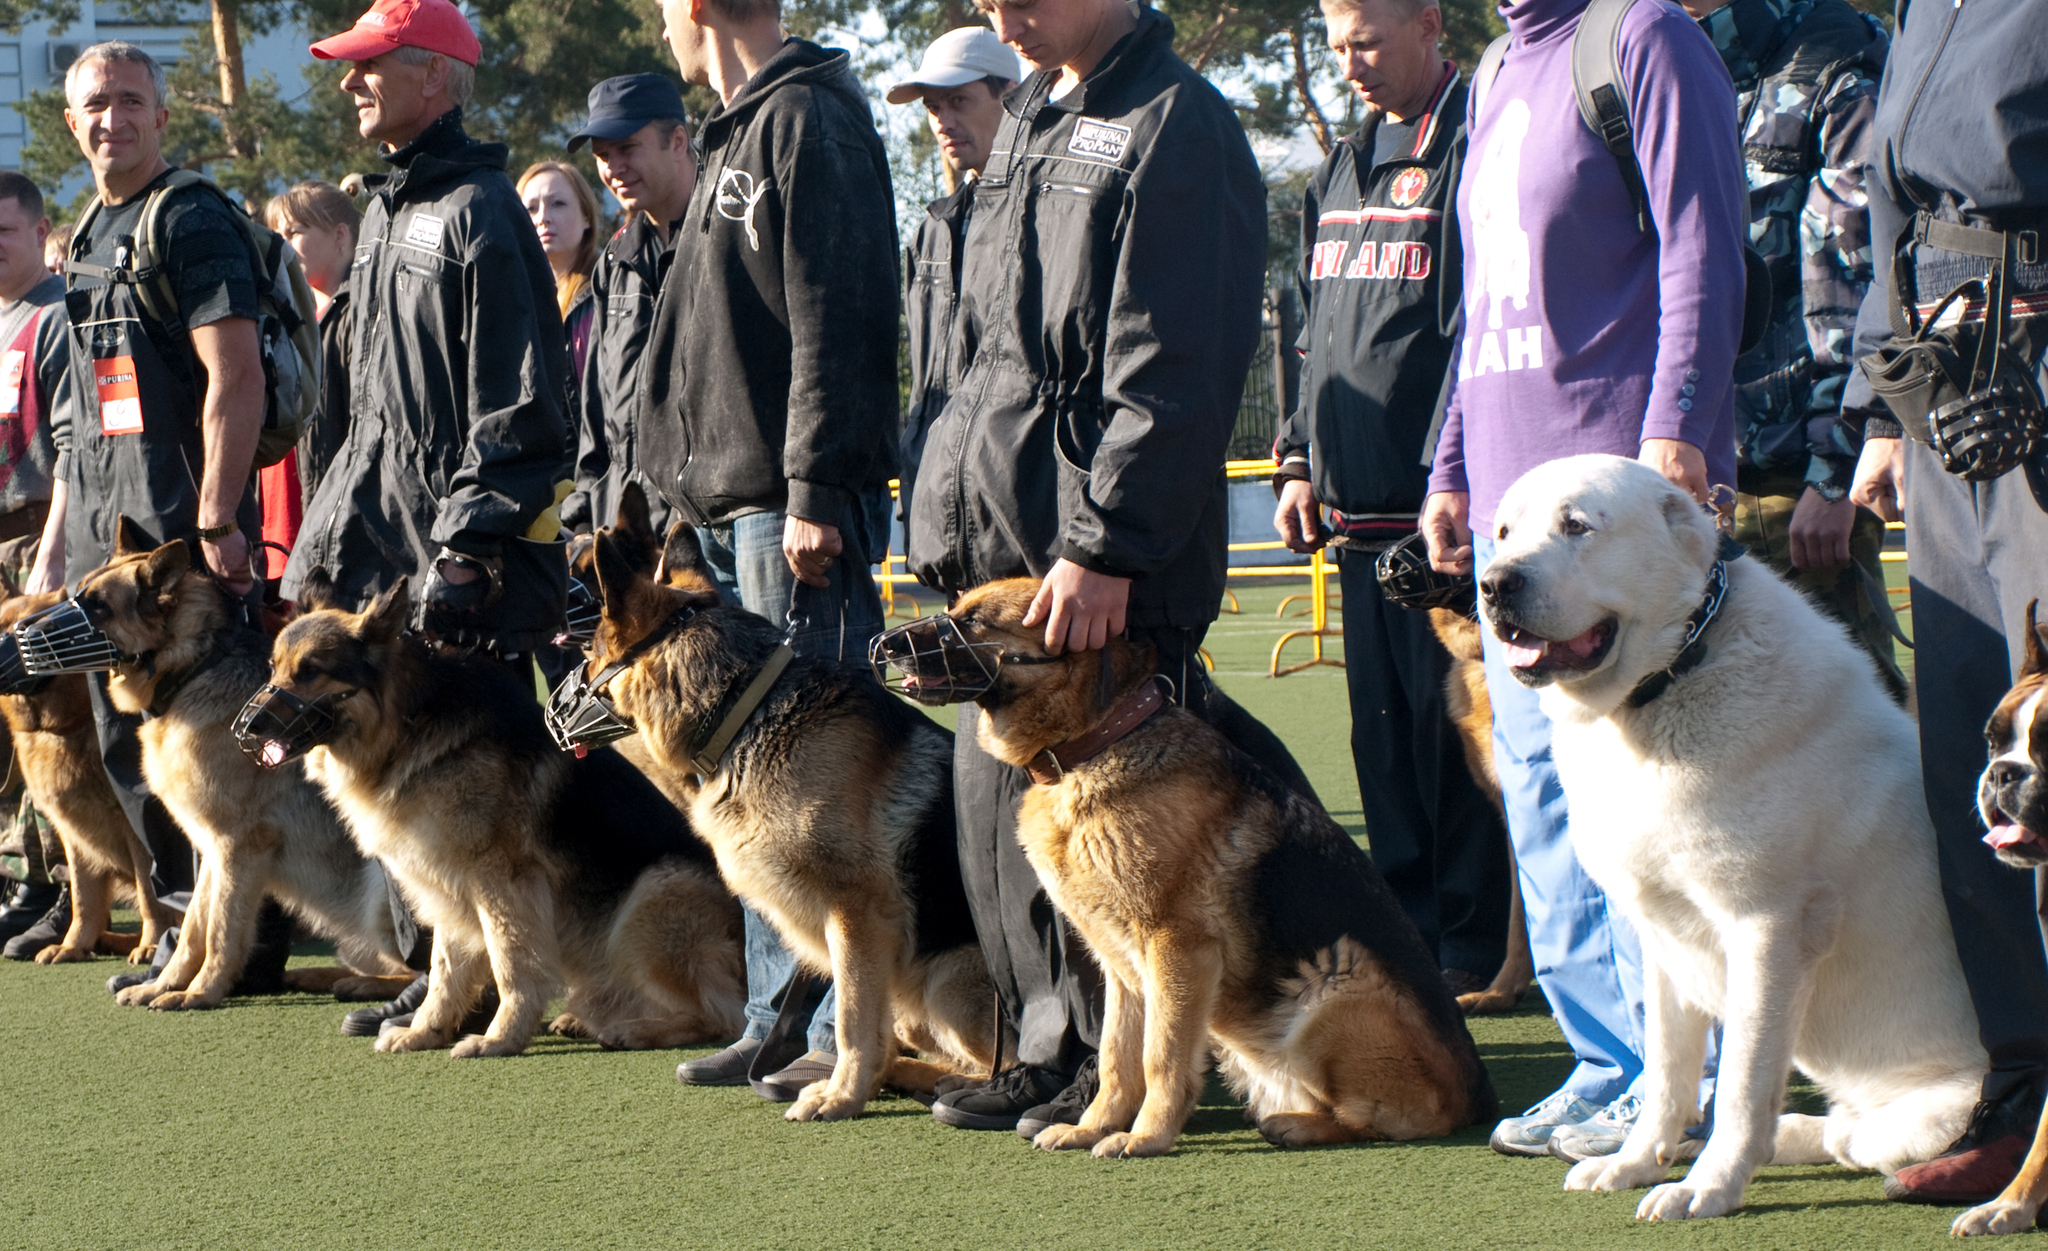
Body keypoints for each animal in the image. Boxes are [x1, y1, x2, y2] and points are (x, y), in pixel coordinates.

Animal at [0, 593, 174, 962]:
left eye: (30, 629)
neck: (71, 725)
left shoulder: (142, 829)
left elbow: (151, 895)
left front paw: (153, 944)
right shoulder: (76, 835)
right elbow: (83, 898)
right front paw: (74, 945)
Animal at [24, 524, 413, 1011]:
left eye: (98, 605)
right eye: (77, 593)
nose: (22, 633)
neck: (193, 669)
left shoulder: (236, 848)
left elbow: (222, 931)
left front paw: (200, 992)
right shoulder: (212, 850)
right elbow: (195, 926)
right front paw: (165, 984)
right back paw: (325, 975)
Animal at [241, 577, 745, 1056]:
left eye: (311, 671)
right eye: (274, 668)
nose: (245, 727)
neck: (408, 722)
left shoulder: (502, 883)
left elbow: (510, 965)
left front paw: (500, 1039)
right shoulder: (447, 883)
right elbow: (445, 969)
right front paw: (427, 1031)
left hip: (653, 895)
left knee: (724, 1016)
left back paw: (635, 1029)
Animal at [552, 532, 999, 1122]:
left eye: (590, 655)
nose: (550, 715)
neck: (744, 711)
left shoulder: (857, 919)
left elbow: (852, 1019)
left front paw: (841, 1095)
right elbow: (866, 1026)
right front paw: (852, 1086)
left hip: (945, 980)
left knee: (1002, 1064)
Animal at [872, 581, 1499, 1162]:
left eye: (973, 622)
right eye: (954, 610)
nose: (882, 644)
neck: (1094, 745)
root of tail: (1480, 1100)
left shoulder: (1177, 950)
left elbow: (1161, 1056)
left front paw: (1145, 1137)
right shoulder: (1119, 967)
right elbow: (1116, 1056)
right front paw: (1093, 1126)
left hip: (1334, 983)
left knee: (1389, 1121)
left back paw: (1299, 1126)